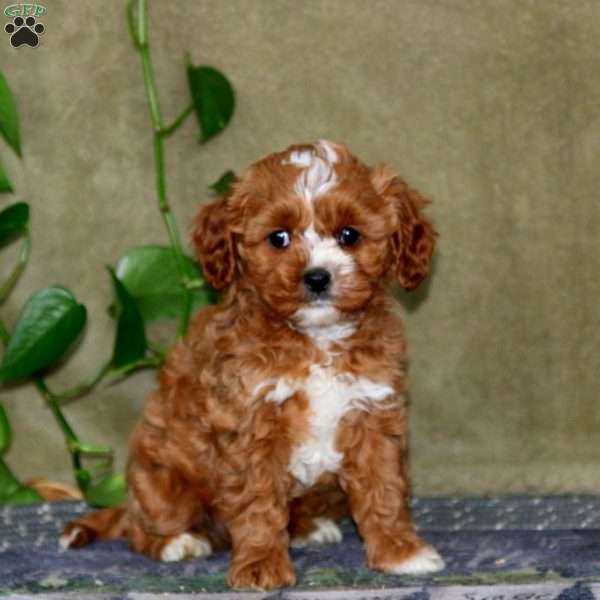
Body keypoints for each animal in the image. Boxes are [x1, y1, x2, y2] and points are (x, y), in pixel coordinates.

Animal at [63, 142, 442, 592]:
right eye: (278, 238)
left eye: (349, 235)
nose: (317, 278)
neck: (317, 339)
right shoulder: (249, 424)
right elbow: (257, 502)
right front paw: (261, 564)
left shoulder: (373, 413)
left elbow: (383, 489)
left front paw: (400, 552)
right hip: (161, 481)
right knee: (142, 528)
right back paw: (177, 541)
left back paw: (307, 527)